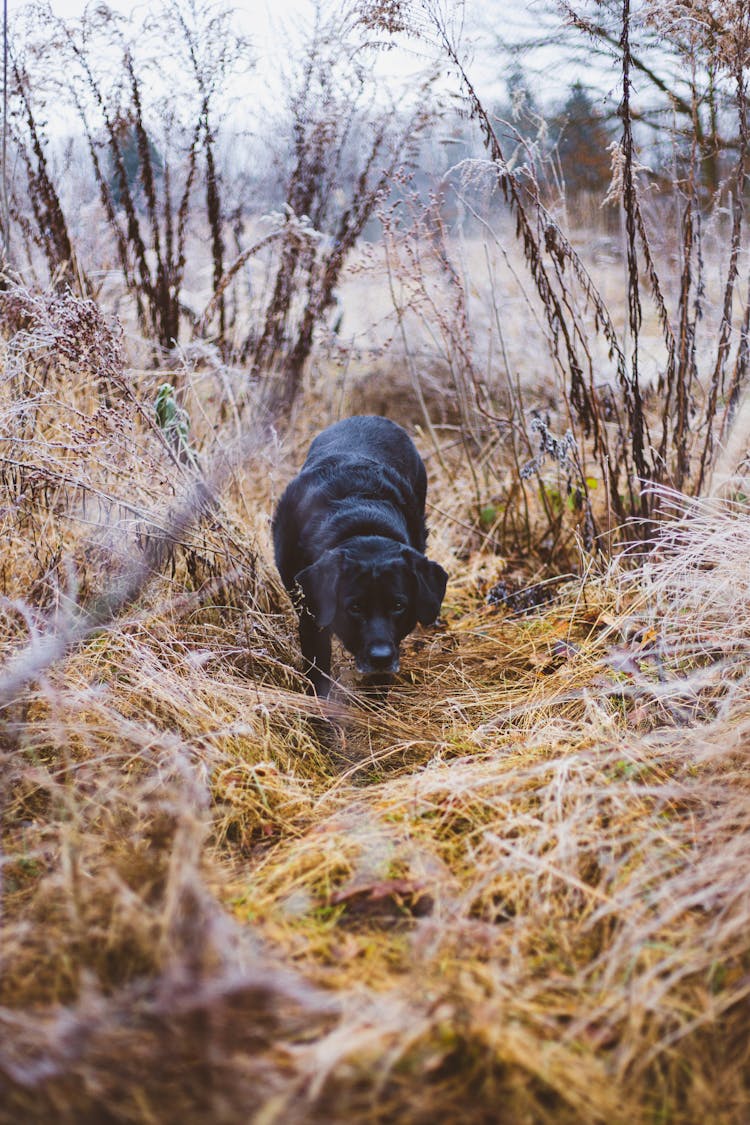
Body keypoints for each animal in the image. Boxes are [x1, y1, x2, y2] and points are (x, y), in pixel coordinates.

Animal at [274, 414, 445, 693]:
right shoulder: (311, 613)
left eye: (398, 605)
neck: (361, 522)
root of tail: (371, 417)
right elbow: (317, 667)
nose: (381, 658)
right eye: (354, 607)